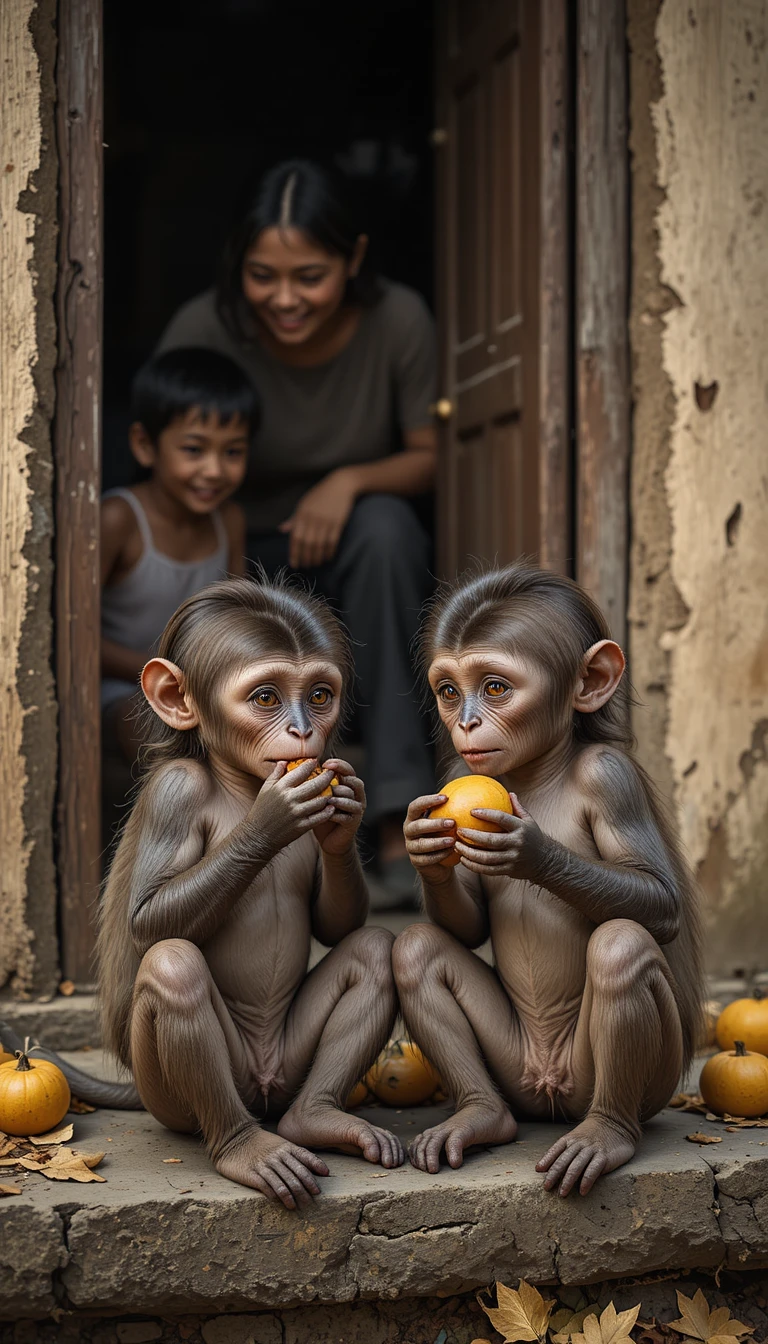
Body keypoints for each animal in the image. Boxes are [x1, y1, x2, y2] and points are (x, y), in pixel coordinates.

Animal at [25, 576, 403, 1210]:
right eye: (267, 699)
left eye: (320, 695)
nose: (303, 732)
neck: (239, 782)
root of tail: (263, 1089)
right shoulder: (174, 793)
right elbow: (148, 920)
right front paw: (272, 819)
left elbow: (338, 925)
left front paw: (342, 819)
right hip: (179, 1100)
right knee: (173, 967)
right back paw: (242, 1148)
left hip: (288, 1068)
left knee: (372, 952)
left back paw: (318, 1119)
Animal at [392, 562, 703, 1197]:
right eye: (448, 691)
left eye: (494, 689)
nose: (466, 723)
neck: (539, 771)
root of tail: (548, 1084)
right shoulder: (457, 770)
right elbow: (465, 927)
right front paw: (424, 849)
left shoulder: (612, 777)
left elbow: (659, 899)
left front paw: (530, 850)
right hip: (510, 1067)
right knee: (416, 950)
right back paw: (478, 1116)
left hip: (622, 1083)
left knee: (621, 945)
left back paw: (604, 1136)